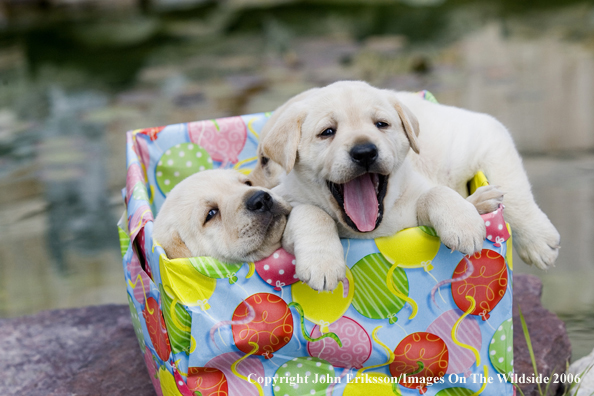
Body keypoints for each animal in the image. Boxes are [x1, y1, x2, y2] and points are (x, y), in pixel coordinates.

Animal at [252, 80, 556, 290]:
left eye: (381, 124)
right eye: (327, 132)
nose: (365, 152)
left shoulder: (485, 134)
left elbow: (445, 192)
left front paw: (535, 241)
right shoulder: (287, 206)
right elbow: (311, 213)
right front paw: (322, 262)